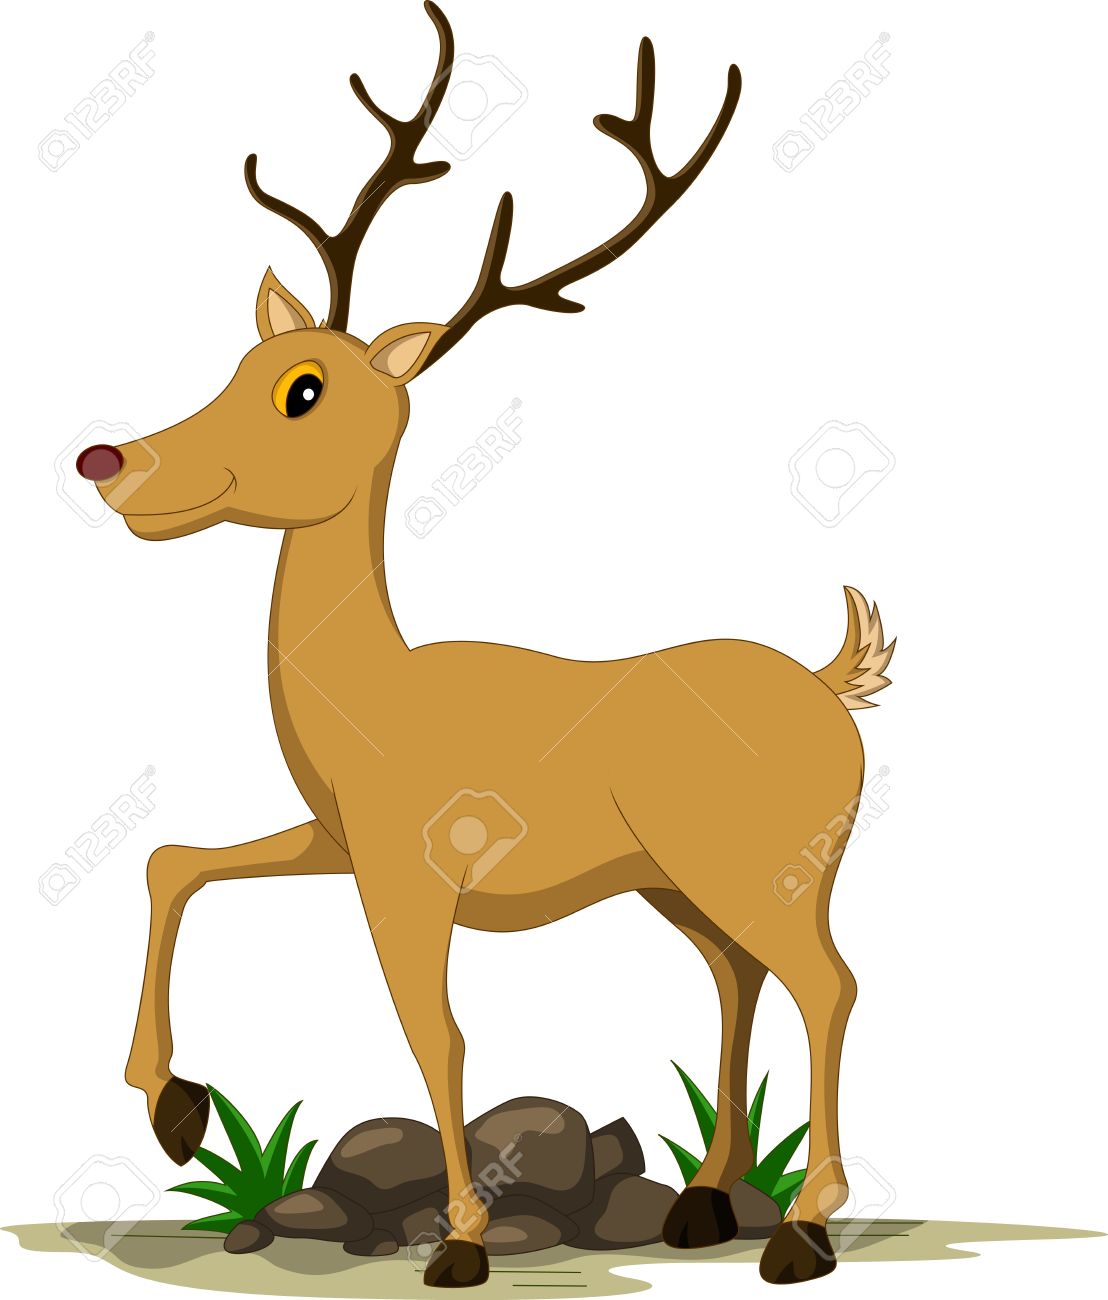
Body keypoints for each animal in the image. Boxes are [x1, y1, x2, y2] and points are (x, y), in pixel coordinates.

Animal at [74, 4, 893, 1287]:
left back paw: (801, 1227)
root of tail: (831, 682)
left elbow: (437, 1030)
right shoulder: (341, 840)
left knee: (828, 981)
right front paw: (173, 1105)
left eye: (302, 389)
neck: (373, 696)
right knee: (738, 977)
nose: (110, 461)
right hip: (678, 884)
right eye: (242, 364)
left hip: (771, 867)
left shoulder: (412, 874)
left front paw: (457, 1243)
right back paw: (702, 1199)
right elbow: (173, 859)